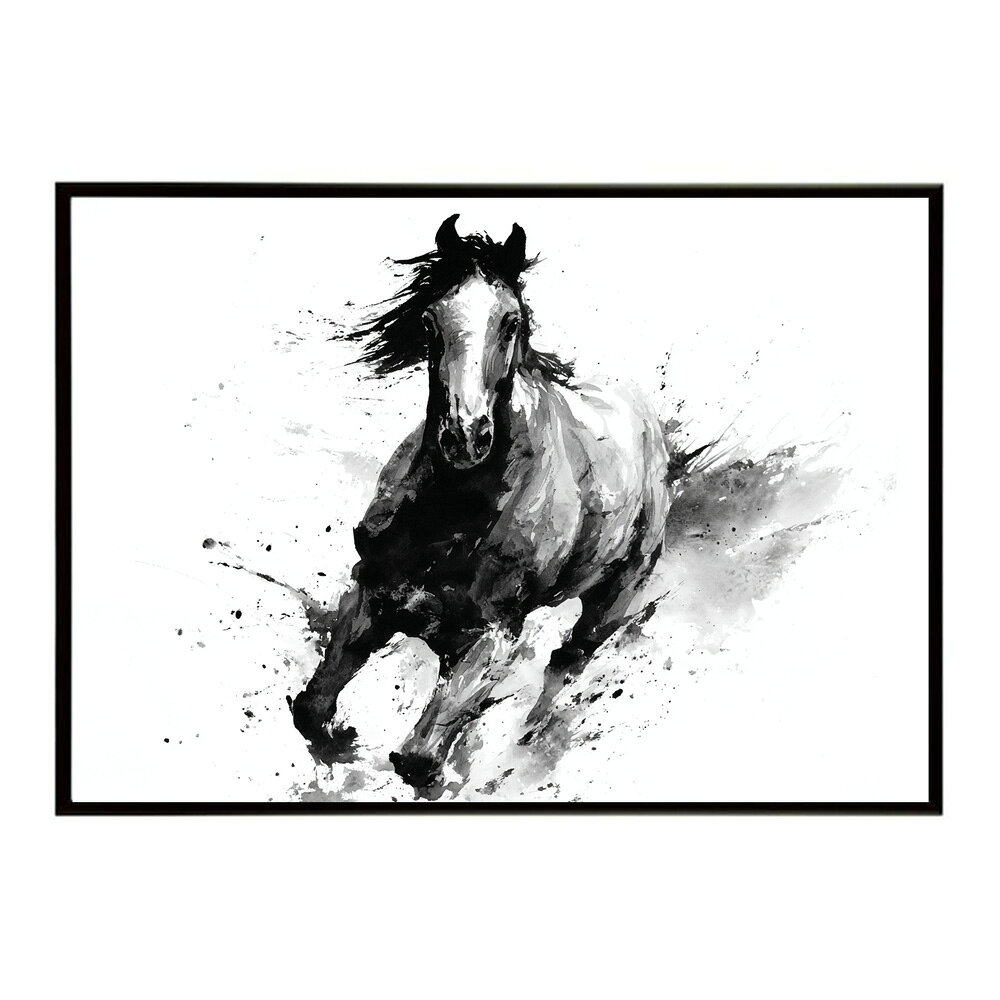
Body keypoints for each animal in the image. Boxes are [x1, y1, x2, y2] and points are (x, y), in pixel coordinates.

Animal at [291, 214, 674, 792]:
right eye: (430, 321)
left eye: (511, 322)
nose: (466, 436)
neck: (453, 515)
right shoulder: (372, 596)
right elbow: (311, 710)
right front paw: (340, 741)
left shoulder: (491, 636)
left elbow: (419, 760)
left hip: (614, 597)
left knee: (567, 662)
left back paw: (527, 739)